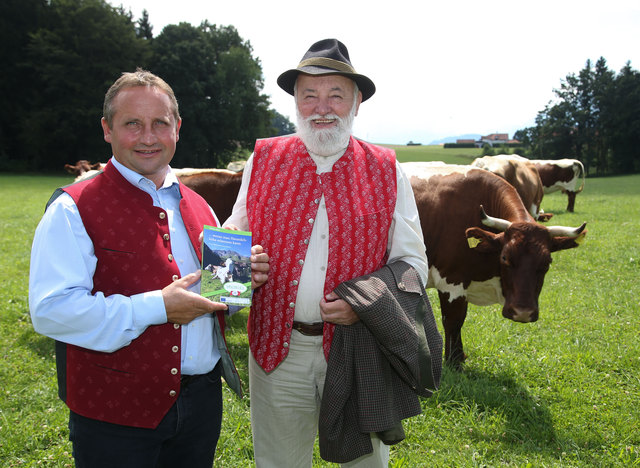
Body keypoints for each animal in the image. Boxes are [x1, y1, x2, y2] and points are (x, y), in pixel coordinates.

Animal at [402, 163, 588, 368]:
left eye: (547, 263)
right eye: (505, 257)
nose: (522, 313)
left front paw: (459, 357)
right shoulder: (451, 282)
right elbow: (453, 321)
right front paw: (454, 362)